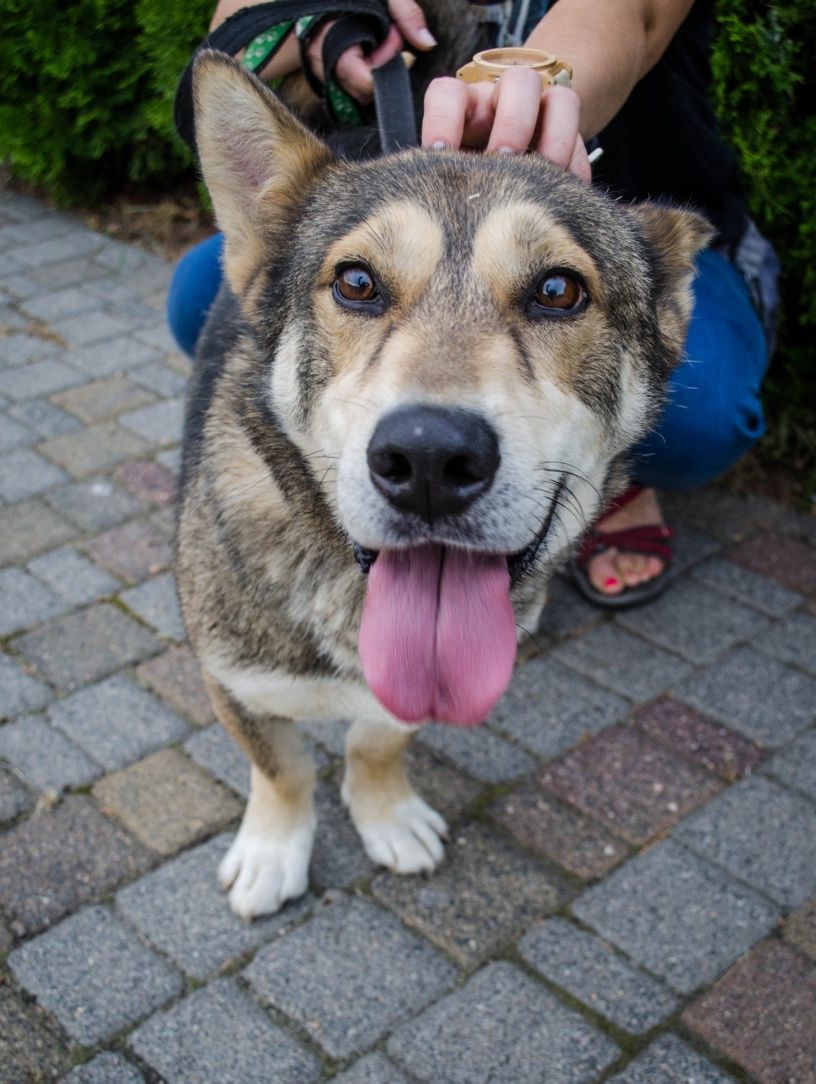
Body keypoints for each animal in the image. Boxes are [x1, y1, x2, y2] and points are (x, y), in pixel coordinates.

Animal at [175, 48, 710, 914]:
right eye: (356, 283)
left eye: (558, 290)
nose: (429, 459)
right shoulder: (231, 674)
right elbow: (281, 768)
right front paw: (273, 851)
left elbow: (377, 738)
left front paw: (386, 814)